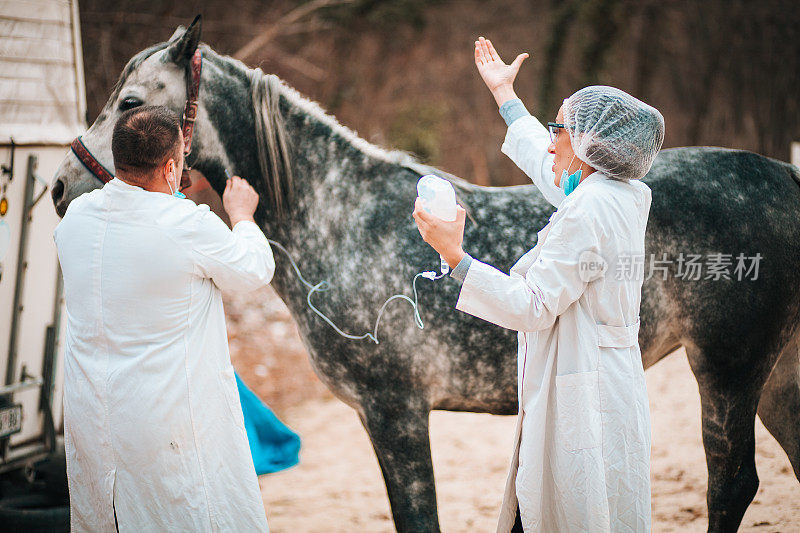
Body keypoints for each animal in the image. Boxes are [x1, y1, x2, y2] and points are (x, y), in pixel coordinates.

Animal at [51, 17, 800, 532]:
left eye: (130, 102)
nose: (61, 188)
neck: (340, 217)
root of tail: (786, 179)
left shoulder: (396, 410)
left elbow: (418, 514)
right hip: (775, 376)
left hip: (727, 368)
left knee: (731, 482)